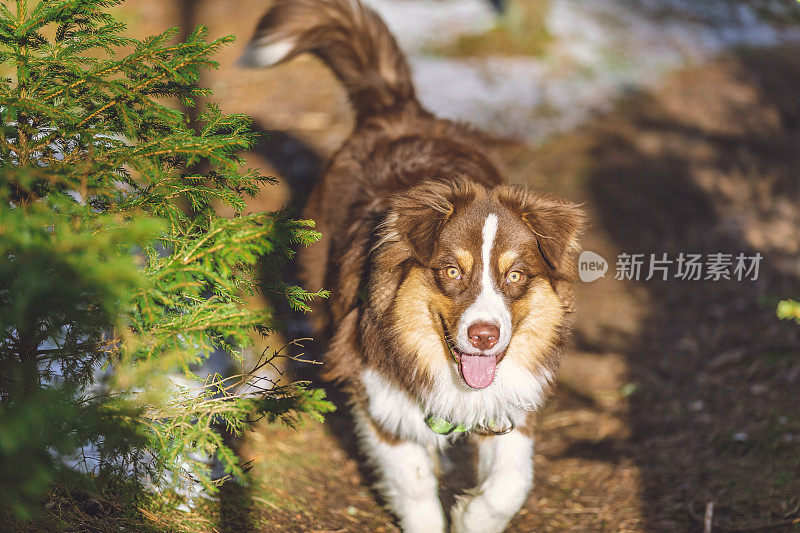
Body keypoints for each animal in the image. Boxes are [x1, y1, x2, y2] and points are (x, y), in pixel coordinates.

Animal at [241, 2, 584, 528]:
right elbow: (415, 485)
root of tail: (401, 110)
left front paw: (471, 517)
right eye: (451, 272)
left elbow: (510, 484)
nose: (484, 337)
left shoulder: (513, 397)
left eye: (515, 276)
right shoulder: (379, 393)